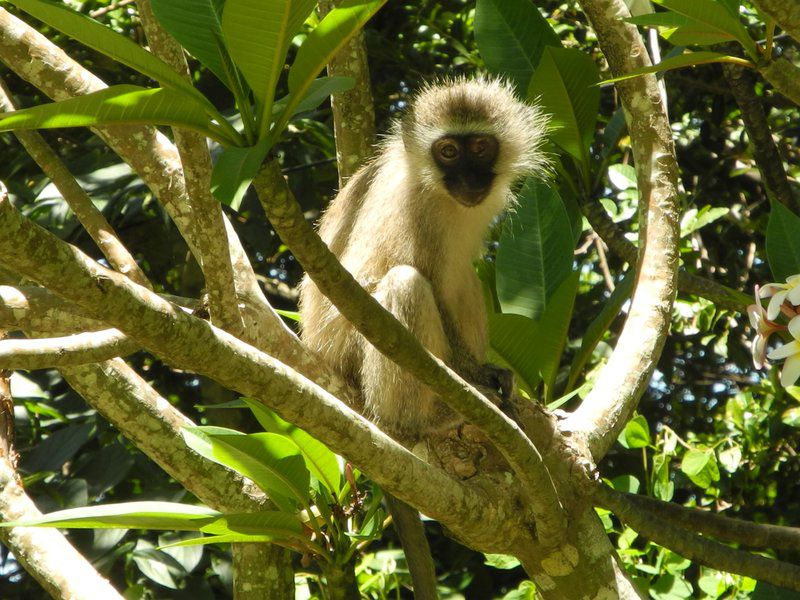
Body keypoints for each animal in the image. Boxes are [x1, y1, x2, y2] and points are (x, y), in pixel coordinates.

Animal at [300, 77, 552, 438]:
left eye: (480, 148)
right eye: (448, 152)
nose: (468, 180)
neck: (437, 191)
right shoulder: (409, 206)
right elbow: (374, 283)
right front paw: (477, 375)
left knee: (464, 277)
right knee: (407, 284)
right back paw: (427, 418)